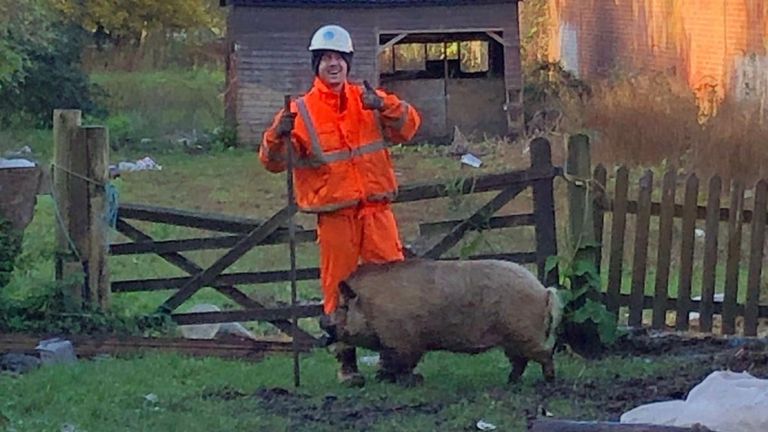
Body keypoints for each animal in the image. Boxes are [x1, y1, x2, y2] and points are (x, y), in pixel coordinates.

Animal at [334, 258, 563, 386]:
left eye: (343, 307)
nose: (326, 326)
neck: (372, 305)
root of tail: (543, 290)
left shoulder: (403, 340)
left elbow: (403, 363)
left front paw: (408, 381)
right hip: (512, 339)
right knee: (520, 361)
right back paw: (510, 382)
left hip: (523, 333)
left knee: (544, 353)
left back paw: (549, 381)